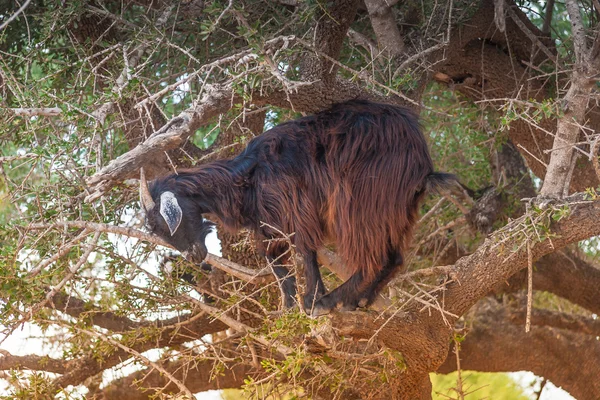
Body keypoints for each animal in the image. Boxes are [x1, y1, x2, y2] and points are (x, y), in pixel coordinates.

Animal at [141, 100, 454, 316]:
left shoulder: (295, 210)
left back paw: (334, 300)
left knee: (372, 255)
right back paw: (360, 299)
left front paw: (311, 300)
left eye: (169, 221)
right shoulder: (268, 225)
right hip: (398, 207)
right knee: (395, 257)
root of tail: (420, 157)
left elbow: (305, 252)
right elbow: (277, 263)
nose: (193, 257)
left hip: (359, 201)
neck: (249, 177)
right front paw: (288, 306)